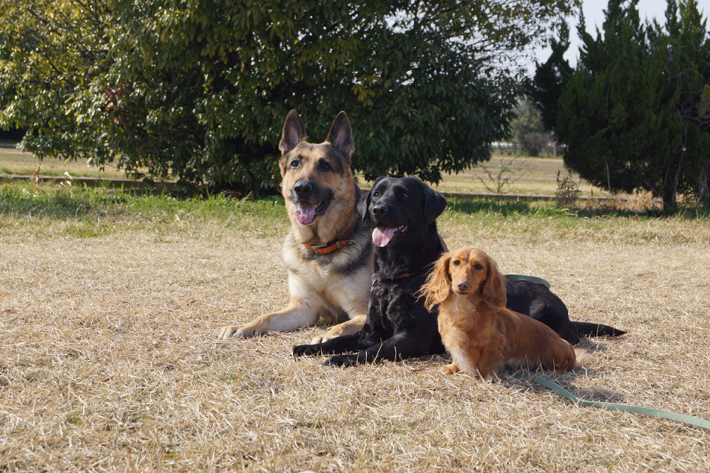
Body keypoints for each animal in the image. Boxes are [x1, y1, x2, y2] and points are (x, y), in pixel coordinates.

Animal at [218, 111, 376, 342]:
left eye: (325, 165)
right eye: (294, 164)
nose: (301, 188)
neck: (321, 248)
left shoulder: (363, 312)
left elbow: (344, 325)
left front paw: (328, 336)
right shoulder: (304, 308)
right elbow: (266, 316)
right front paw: (244, 326)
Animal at [294, 177, 628, 366]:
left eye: (404, 195)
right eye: (376, 194)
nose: (378, 210)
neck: (398, 275)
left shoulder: (410, 338)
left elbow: (373, 351)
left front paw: (342, 359)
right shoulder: (370, 331)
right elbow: (337, 340)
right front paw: (309, 347)